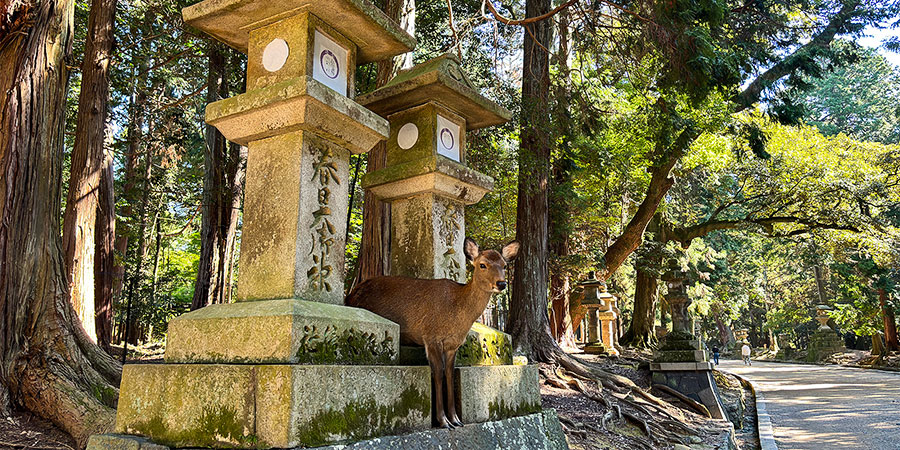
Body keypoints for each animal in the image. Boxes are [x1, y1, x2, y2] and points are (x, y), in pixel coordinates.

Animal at [345, 238, 520, 429]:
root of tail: (351, 293)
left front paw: (456, 419)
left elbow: (449, 373)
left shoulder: (453, 345)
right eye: (482, 264)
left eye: (504, 265)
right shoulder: (431, 337)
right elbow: (438, 373)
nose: (501, 284)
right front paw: (443, 421)